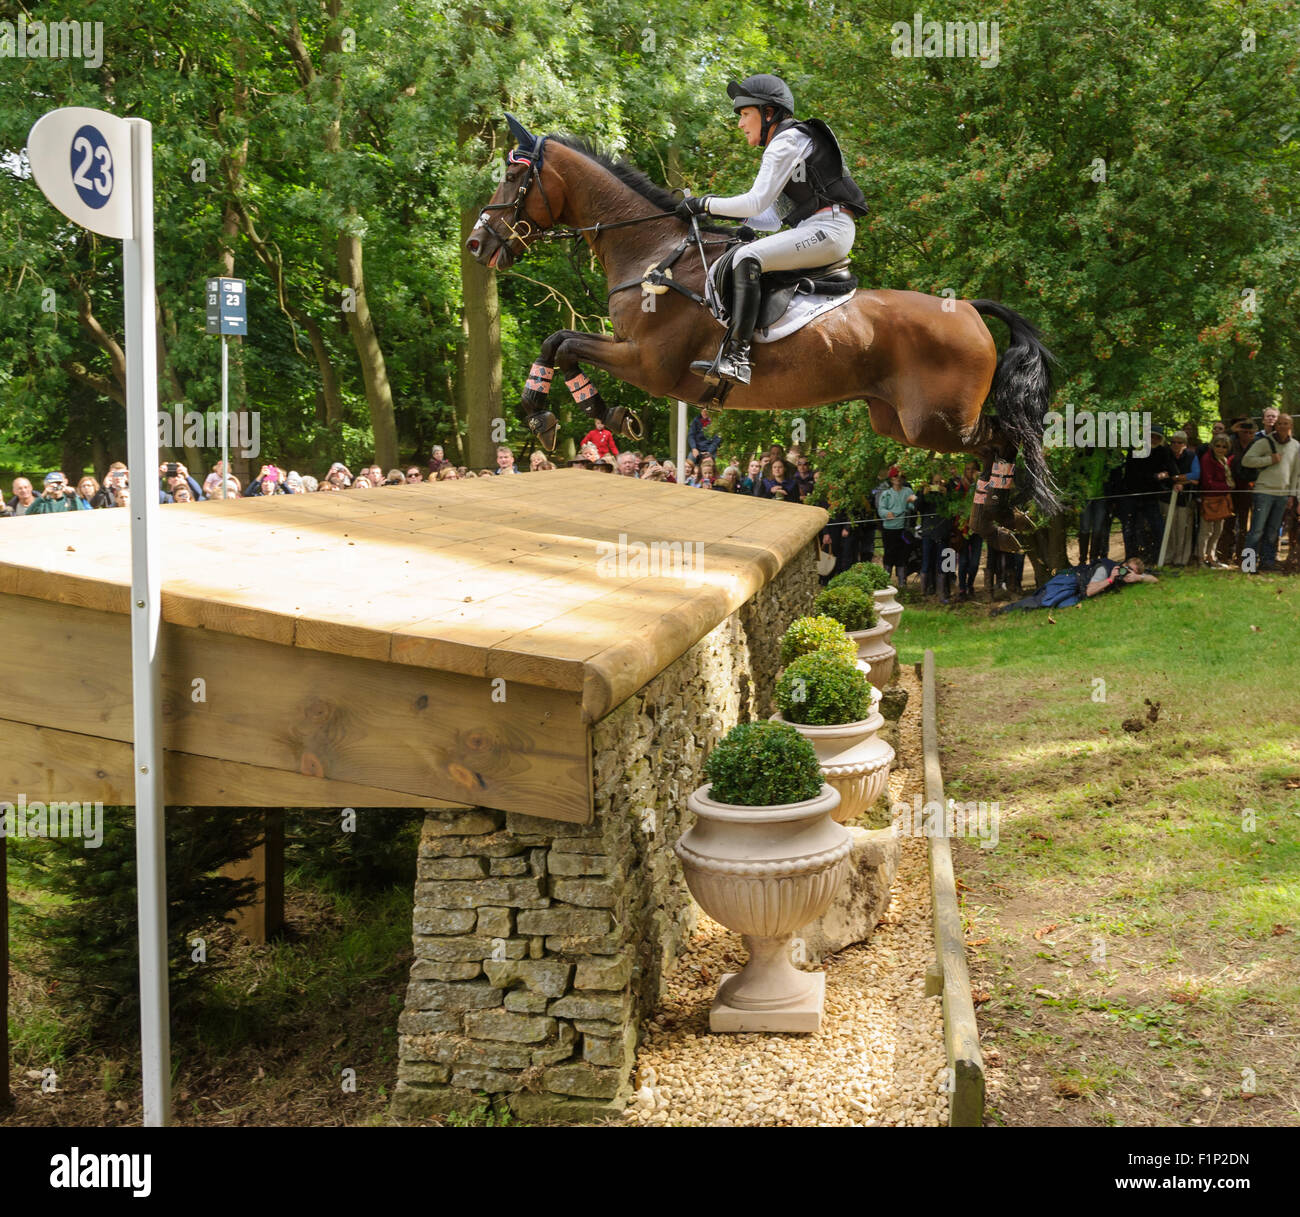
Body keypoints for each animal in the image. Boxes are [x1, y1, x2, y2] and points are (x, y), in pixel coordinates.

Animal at [466, 117, 1059, 557]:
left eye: (514, 179)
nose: (477, 244)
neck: (653, 251)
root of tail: (970, 310)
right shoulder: (634, 355)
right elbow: (557, 341)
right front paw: (573, 414)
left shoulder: (650, 365)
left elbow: (564, 343)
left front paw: (577, 413)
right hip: (897, 421)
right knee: (1000, 443)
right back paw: (1000, 518)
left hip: (937, 421)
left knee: (1005, 440)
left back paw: (996, 519)